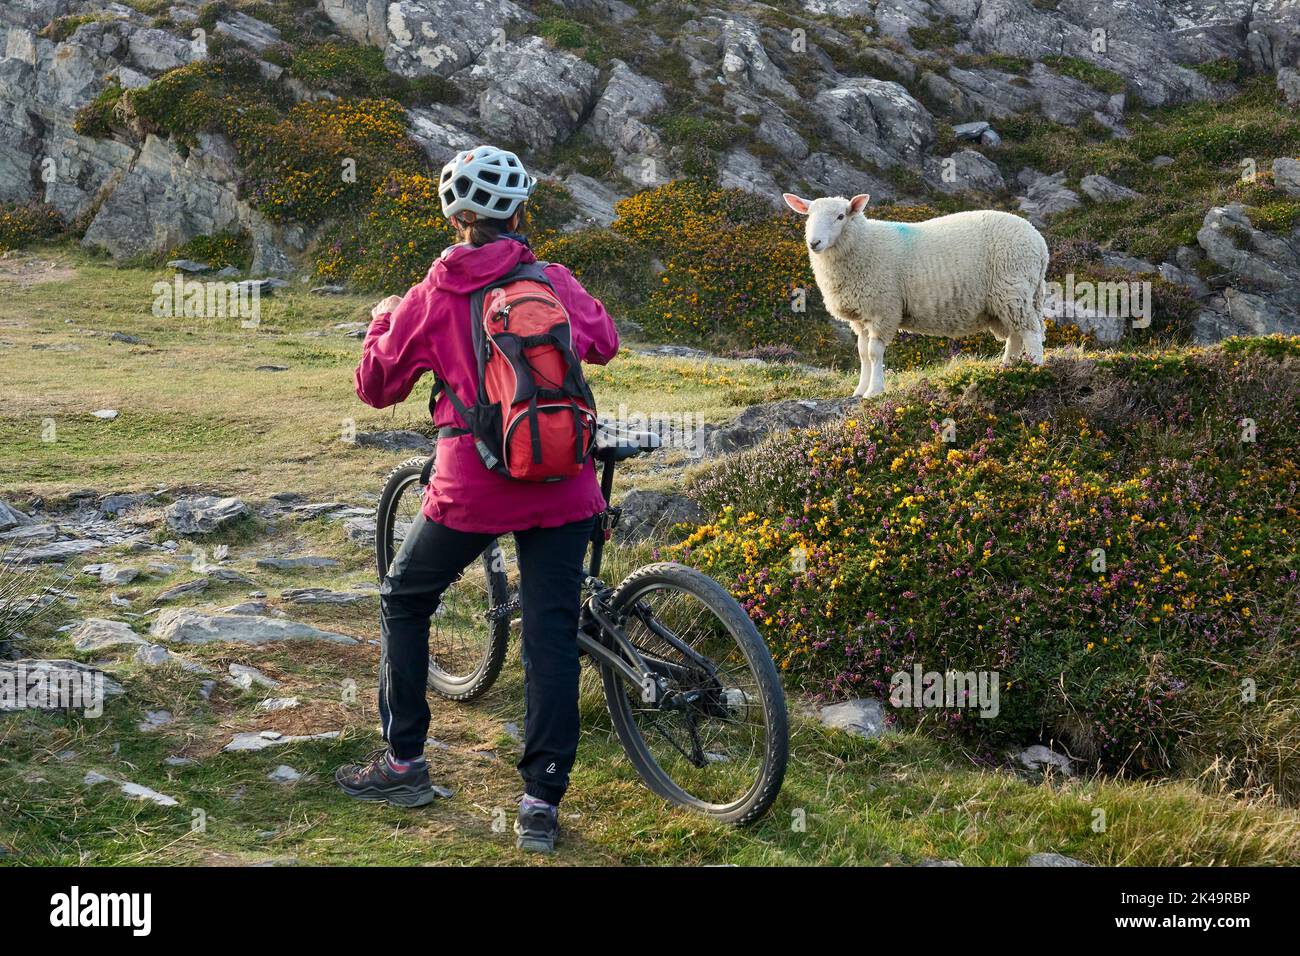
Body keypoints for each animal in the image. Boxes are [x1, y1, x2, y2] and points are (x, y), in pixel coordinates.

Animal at [780, 192, 1045, 398]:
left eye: (840, 216)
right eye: (809, 216)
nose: (814, 242)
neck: (863, 245)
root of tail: (1039, 242)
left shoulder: (883, 309)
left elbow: (874, 353)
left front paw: (874, 391)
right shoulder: (861, 316)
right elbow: (863, 354)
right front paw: (859, 390)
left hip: (1012, 289)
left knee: (1030, 332)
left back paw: (1035, 368)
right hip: (1011, 298)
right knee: (1015, 336)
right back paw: (1008, 368)